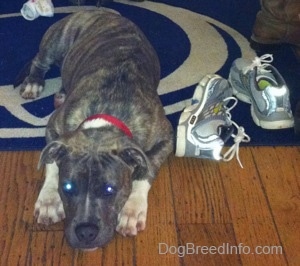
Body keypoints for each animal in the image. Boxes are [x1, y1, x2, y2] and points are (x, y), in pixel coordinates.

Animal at [15, 10, 173, 250]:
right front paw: (49, 199)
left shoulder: (166, 138)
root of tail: (104, 11)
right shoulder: (54, 127)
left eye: (110, 190)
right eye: (68, 187)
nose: (85, 232)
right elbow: (51, 161)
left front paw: (132, 208)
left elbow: (147, 168)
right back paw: (34, 82)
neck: (106, 115)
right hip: (56, 42)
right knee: (39, 61)